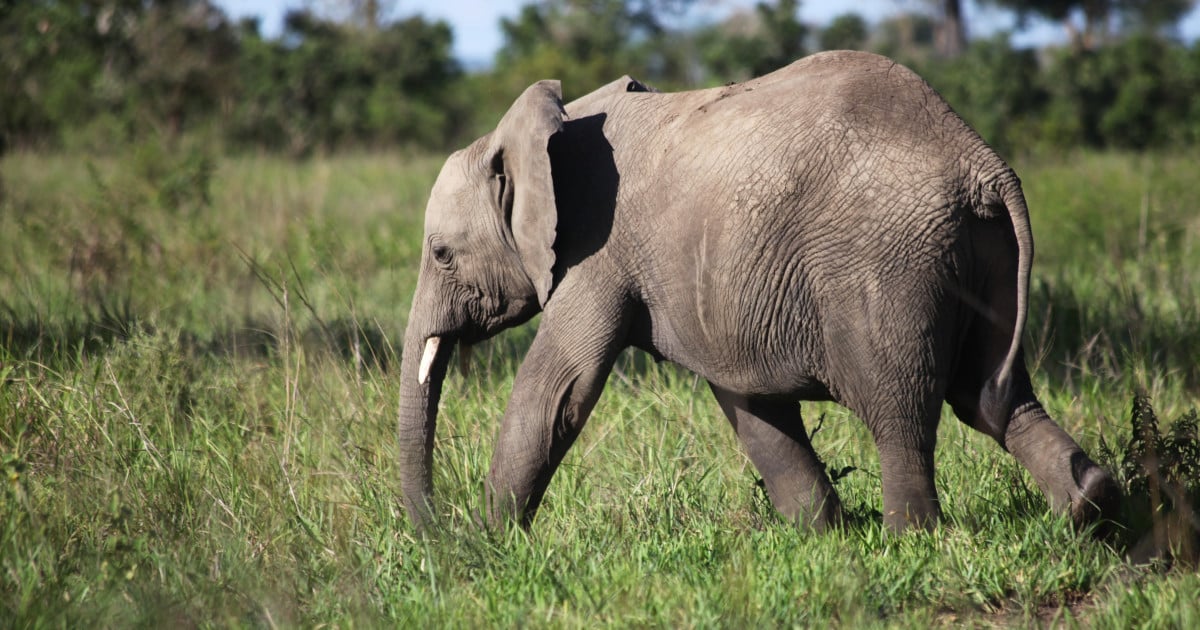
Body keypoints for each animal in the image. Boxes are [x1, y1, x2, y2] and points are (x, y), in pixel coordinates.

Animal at [393, 50, 1113, 530]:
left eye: (441, 255)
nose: (435, 535)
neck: (539, 129)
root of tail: (979, 162)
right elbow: (750, 405)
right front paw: (821, 534)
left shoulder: (594, 254)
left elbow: (556, 394)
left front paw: (488, 546)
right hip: (979, 254)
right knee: (993, 395)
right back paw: (1090, 503)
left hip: (890, 266)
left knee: (901, 410)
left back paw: (912, 538)